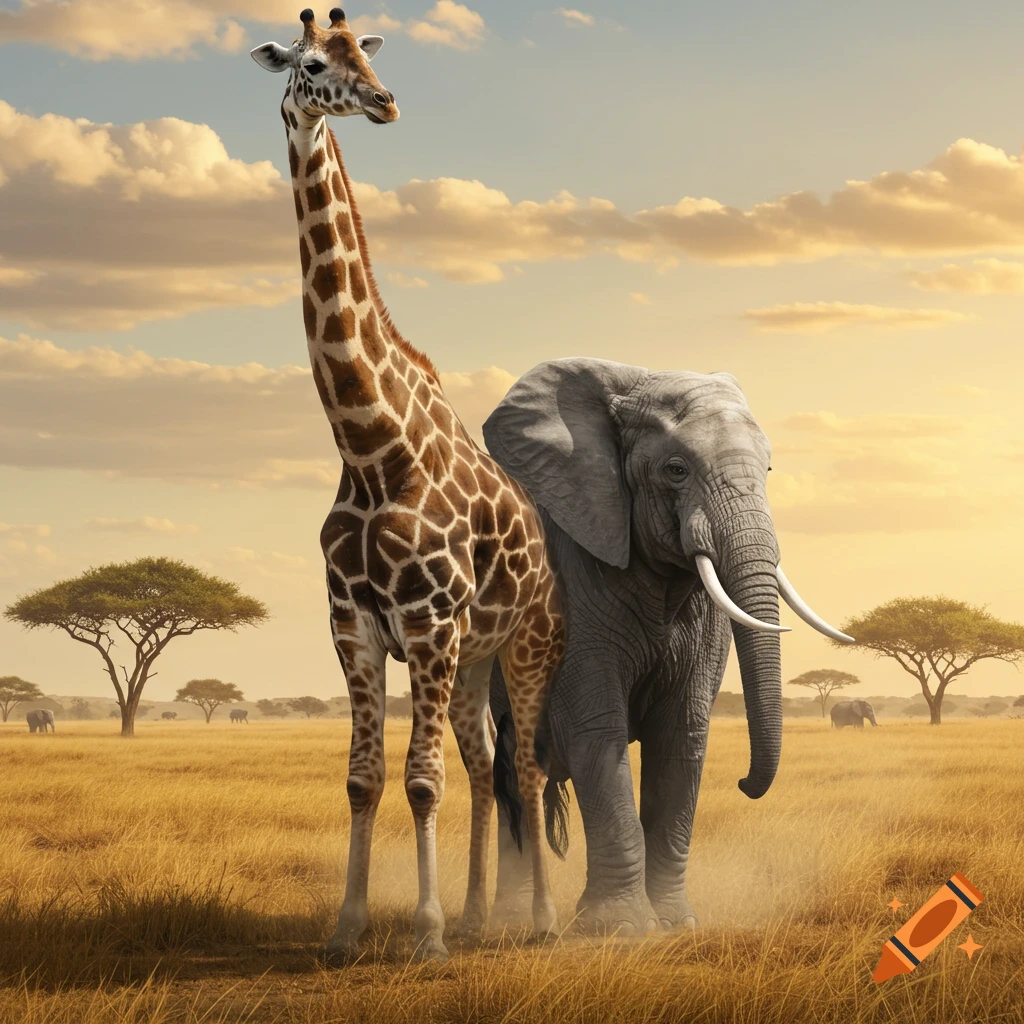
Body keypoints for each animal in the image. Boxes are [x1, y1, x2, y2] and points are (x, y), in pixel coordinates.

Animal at [252, 10, 565, 962]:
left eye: (362, 53)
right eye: (311, 64)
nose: (386, 102)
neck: (367, 444)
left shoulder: (425, 622)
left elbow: (420, 780)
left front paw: (421, 933)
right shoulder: (353, 625)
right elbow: (364, 779)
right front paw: (348, 928)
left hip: (523, 645)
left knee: (525, 762)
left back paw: (537, 921)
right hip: (471, 660)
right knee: (487, 764)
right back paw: (475, 917)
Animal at [482, 358, 853, 935]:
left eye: (769, 471)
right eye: (675, 470)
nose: (745, 783)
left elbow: (682, 734)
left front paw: (677, 924)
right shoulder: (573, 580)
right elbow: (598, 729)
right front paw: (620, 931)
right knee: (506, 776)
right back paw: (515, 924)